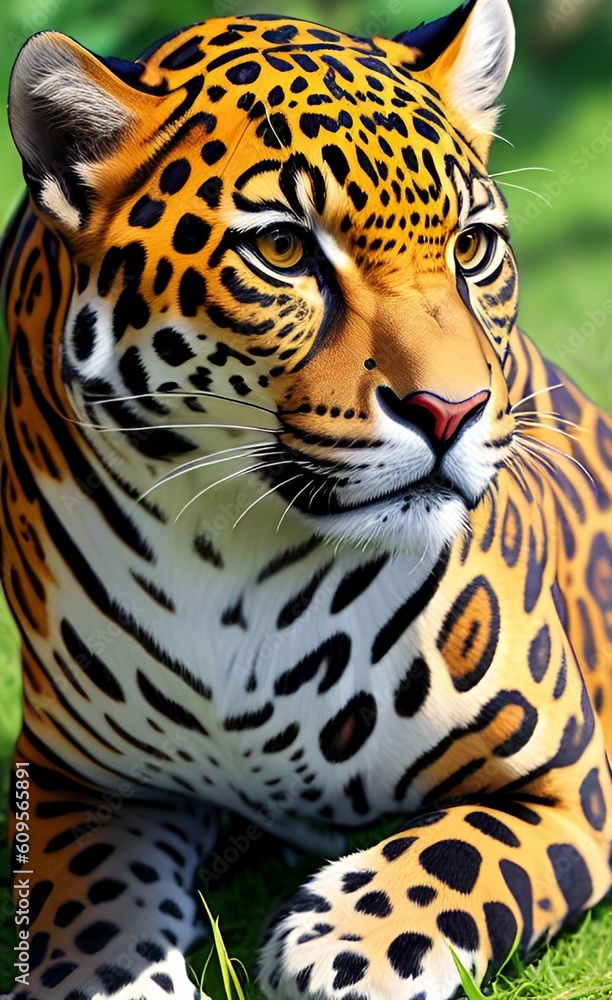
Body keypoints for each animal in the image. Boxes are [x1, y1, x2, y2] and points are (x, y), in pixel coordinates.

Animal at [1, 0, 611, 998]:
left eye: (472, 247)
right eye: (282, 249)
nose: (452, 411)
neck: (235, 557)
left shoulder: (570, 783)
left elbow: (460, 854)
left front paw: (349, 942)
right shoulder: (74, 777)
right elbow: (90, 896)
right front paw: (95, 974)